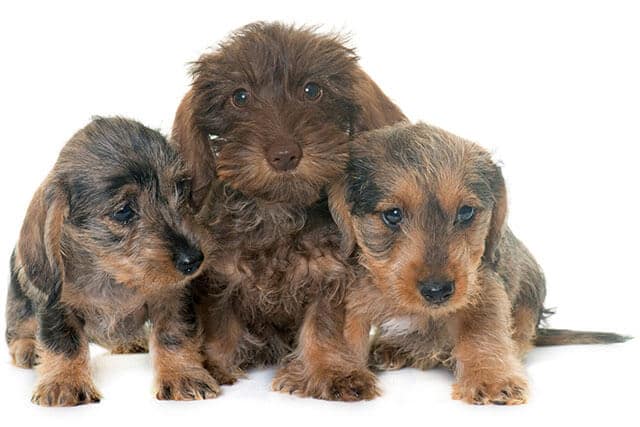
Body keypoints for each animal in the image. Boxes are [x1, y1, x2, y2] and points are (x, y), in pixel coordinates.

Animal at [4, 118, 220, 408]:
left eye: (180, 190)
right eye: (124, 211)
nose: (194, 259)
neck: (111, 275)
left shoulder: (170, 297)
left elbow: (173, 334)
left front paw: (183, 374)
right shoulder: (55, 305)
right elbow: (64, 341)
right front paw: (65, 382)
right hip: (19, 302)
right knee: (19, 328)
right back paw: (27, 347)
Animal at [171, 21, 404, 400]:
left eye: (312, 90)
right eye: (240, 97)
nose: (284, 154)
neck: (276, 212)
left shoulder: (331, 276)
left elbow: (323, 328)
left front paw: (330, 370)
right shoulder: (221, 277)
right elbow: (220, 324)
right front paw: (212, 363)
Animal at [330, 122, 632, 406]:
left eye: (466, 212)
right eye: (392, 215)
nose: (437, 291)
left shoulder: (483, 288)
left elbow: (482, 334)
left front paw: (491, 378)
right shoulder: (352, 300)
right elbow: (345, 335)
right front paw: (342, 373)